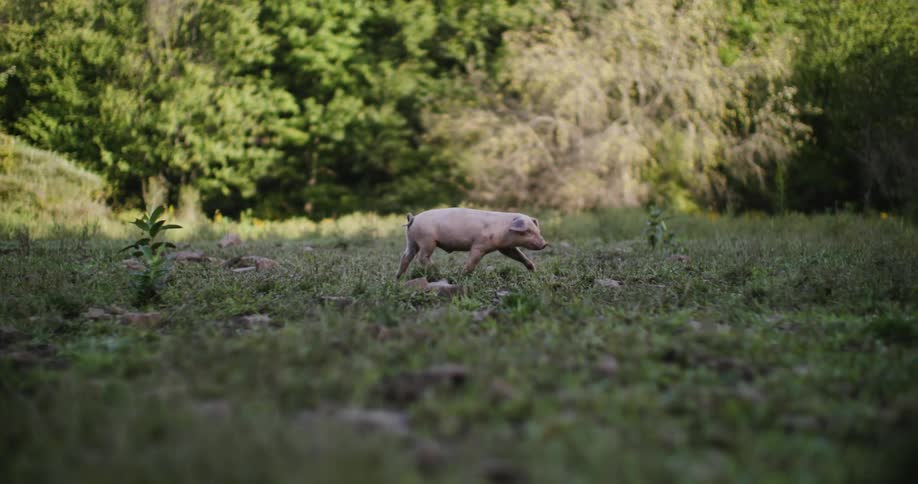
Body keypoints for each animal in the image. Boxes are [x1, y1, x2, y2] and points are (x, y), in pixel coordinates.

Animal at [395, 208, 548, 279]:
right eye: (528, 231)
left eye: (537, 230)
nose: (545, 244)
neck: (504, 230)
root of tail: (413, 218)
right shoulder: (479, 245)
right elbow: (473, 261)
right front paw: (462, 274)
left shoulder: (505, 248)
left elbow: (519, 255)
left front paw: (533, 269)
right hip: (427, 240)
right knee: (422, 257)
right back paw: (438, 271)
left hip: (411, 241)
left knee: (406, 256)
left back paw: (398, 278)